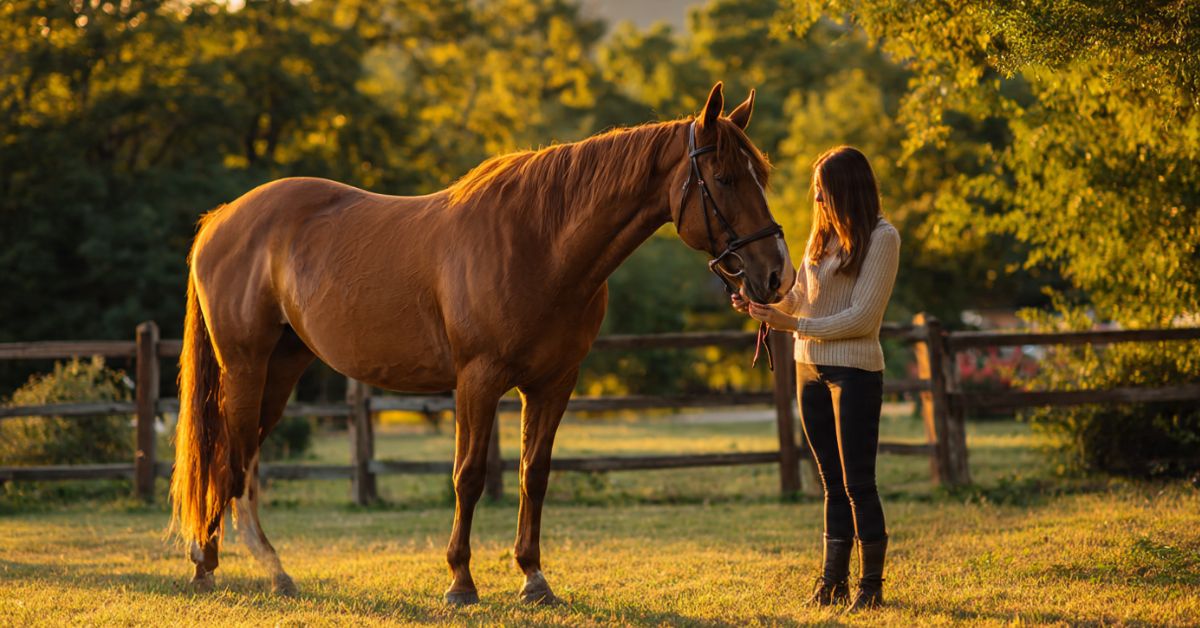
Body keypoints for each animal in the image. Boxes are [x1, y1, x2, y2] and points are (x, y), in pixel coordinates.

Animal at [169, 82, 795, 605]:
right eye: (726, 179)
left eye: (760, 175)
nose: (776, 275)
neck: (539, 242)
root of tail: (223, 218)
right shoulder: (477, 380)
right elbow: (468, 476)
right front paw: (460, 583)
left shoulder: (553, 384)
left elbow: (533, 474)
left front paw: (534, 580)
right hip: (246, 366)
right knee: (233, 457)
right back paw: (256, 568)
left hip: (281, 369)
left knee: (231, 458)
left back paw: (217, 565)